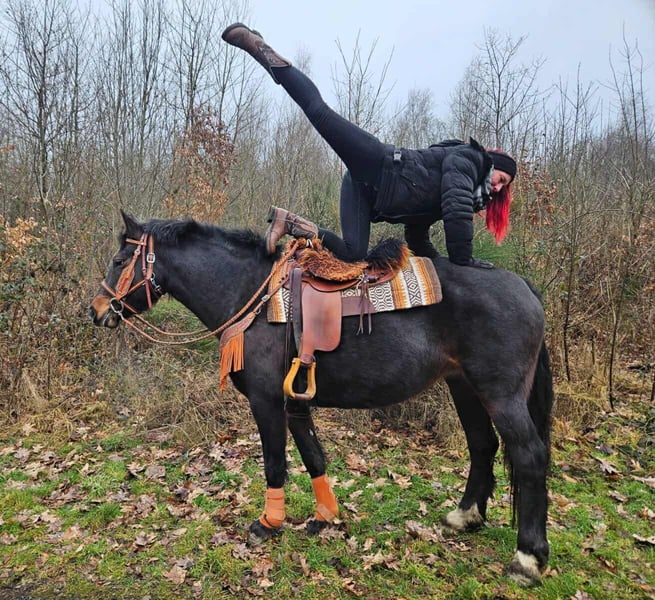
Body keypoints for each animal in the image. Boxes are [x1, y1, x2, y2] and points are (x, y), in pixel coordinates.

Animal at [89, 211, 553, 586]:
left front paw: (268, 524)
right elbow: (314, 457)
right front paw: (324, 517)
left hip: (501, 394)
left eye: (119, 261)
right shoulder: (295, 401)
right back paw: (466, 516)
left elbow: (275, 462)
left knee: (529, 455)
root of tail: (523, 286)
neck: (251, 294)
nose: (95, 311)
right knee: (482, 445)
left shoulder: (266, 401)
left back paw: (527, 558)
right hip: (465, 386)